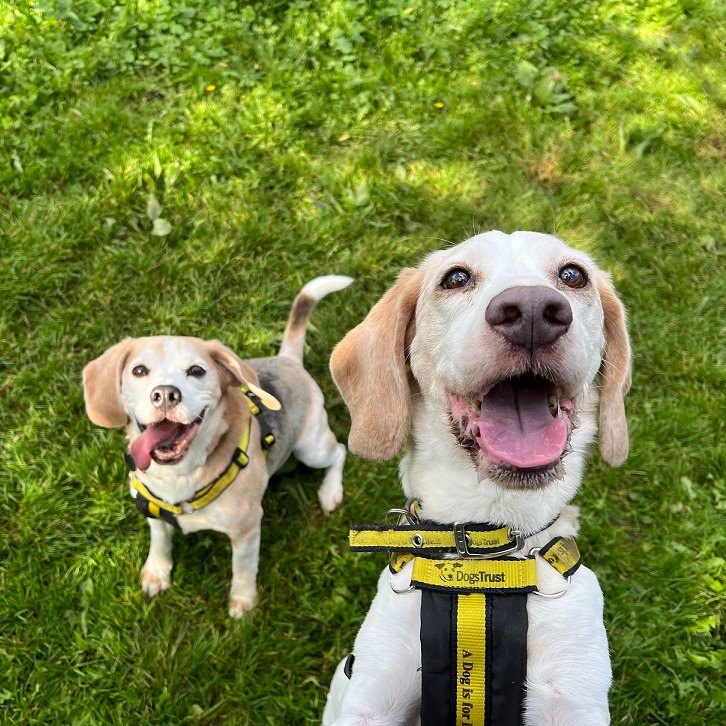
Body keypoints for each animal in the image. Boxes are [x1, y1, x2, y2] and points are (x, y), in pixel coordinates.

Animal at [84, 276, 354, 616]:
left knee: (340, 452)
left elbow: (243, 569)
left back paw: (330, 492)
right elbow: (160, 542)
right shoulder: (152, 511)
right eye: (139, 371)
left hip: (312, 448)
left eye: (197, 371)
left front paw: (243, 603)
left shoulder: (247, 531)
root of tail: (287, 359)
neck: (181, 476)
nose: (165, 394)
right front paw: (157, 573)